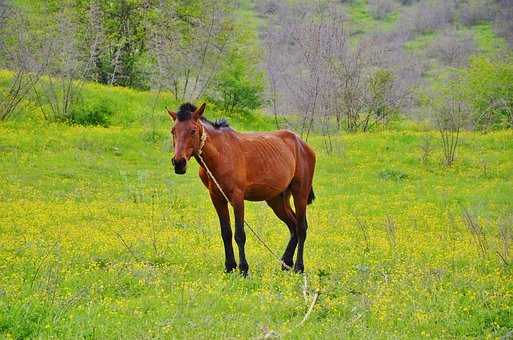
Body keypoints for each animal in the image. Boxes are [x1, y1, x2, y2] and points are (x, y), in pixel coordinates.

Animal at [167, 103, 316, 274]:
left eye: (192, 130)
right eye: (173, 131)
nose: (179, 163)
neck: (221, 154)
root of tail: (302, 144)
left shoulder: (237, 198)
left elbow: (240, 234)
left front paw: (244, 269)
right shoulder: (217, 197)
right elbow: (226, 232)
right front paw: (230, 267)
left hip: (300, 193)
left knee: (301, 227)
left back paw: (298, 267)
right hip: (277, 200)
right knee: (293, 226)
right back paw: (286, 263)